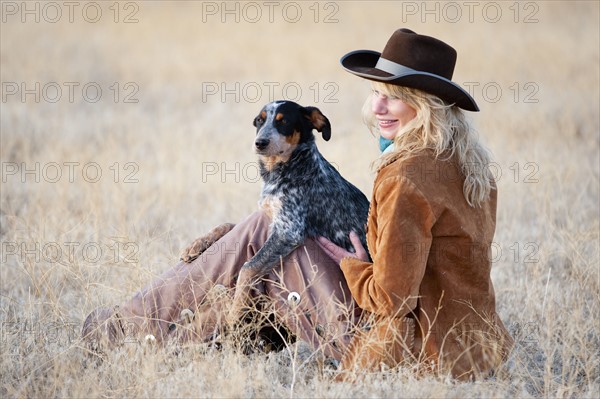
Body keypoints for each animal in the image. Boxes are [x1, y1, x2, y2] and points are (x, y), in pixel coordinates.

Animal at [229, 101, 370, 324]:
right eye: (260, 121)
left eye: (284, 121)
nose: (260, 142)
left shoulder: (288, 232)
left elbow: (248, 267)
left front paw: (234, 313)